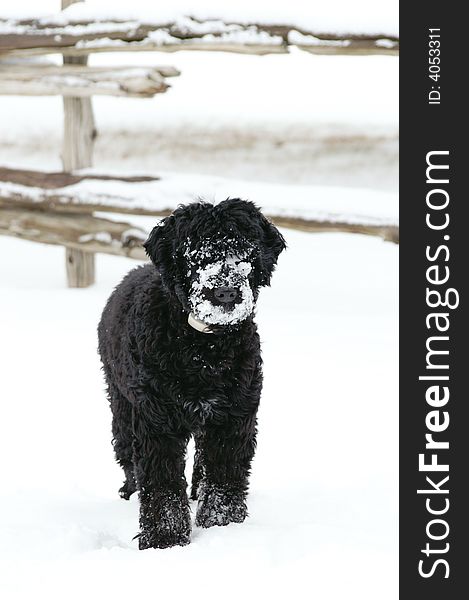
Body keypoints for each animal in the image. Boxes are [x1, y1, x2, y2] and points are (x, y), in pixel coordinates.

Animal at [97, 198, 284, 548]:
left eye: (245, 251)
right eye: (195, 253)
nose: (225, 292)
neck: (203, 349)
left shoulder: (233, 415)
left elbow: (223, 474)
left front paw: (223, 526)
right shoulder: (156, 419)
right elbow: (162, 482)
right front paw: (164, 539)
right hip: (121, 402)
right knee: (126, 452)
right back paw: (130, 491)